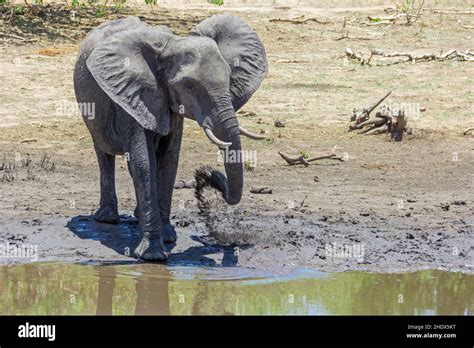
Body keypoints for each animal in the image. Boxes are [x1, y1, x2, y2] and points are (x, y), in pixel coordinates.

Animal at [72, 15, 268, 260]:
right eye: (189, 86)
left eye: (229, 76)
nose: (207, 175)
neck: (172, 44)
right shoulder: (133, 93)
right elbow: (144, 163)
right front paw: (153, 256)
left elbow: (169, 160)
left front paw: (168, 238)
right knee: (104, 153)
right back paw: (107, 219)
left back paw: (137, 216)